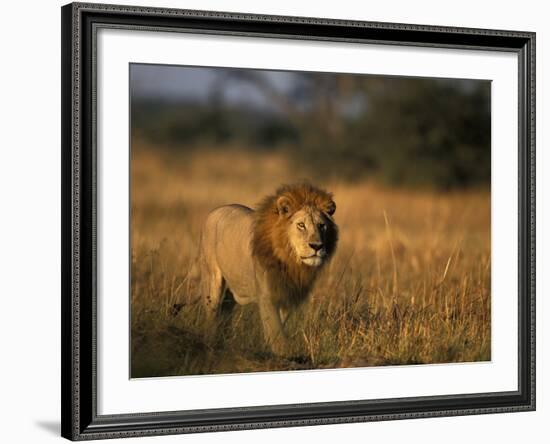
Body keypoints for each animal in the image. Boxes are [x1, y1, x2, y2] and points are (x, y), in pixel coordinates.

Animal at [194, 182, 340, 356]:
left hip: (231, 289)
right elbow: (275, 329)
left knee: (225, 313)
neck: (290, 261)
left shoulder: (287, 294)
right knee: (212, 312)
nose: (317, 246)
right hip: (212, 280)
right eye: (301, 225)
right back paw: (210, 341)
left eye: (322, 226)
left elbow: (280, 325)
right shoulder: (267, 295)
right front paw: (284, 354)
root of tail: (215, 211)